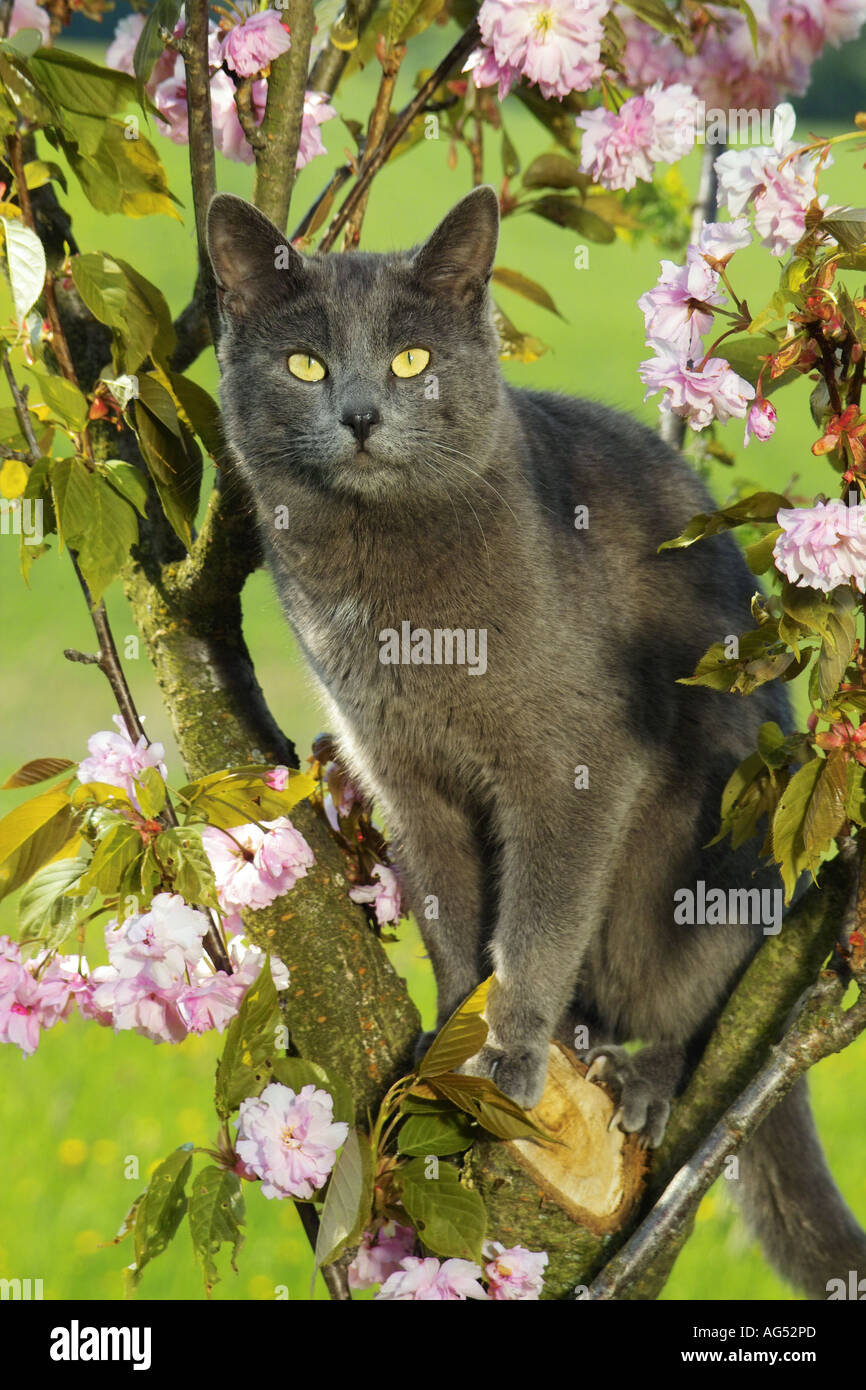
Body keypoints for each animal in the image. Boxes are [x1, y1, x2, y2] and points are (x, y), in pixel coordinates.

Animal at [209, 182, 866, 1289]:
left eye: (410, 361)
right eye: (304, 364)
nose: (358, 413)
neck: (395, 599)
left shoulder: (575, 762)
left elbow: (538, 919)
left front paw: (509, 1052)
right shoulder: (404, 775)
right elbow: (451, 914)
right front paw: (451, 1033)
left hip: (718, 833)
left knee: (697, 991)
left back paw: (638, 1073)